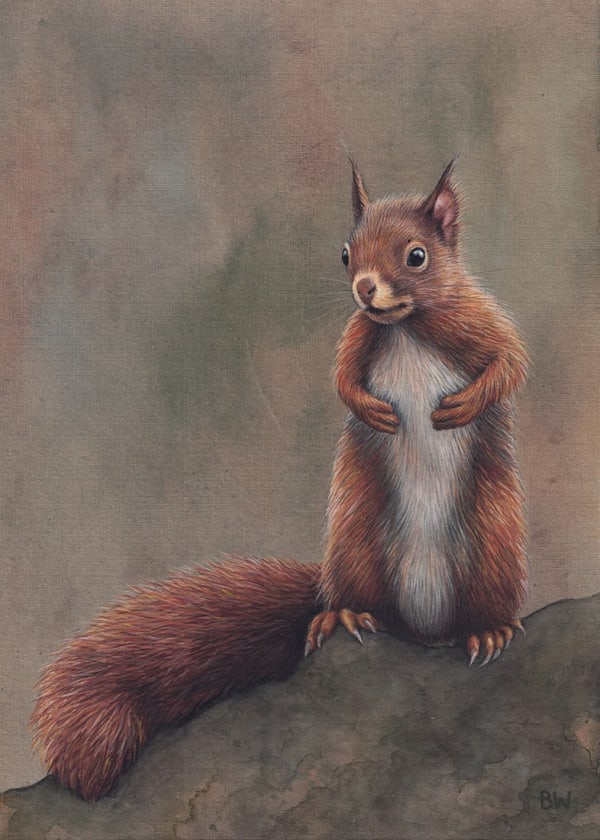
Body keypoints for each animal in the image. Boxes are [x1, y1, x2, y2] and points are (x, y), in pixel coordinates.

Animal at [31, 159, 528, 802]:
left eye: (417, 256)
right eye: (345, 253)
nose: (365, 289)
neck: (406, 327)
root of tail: (422, 631)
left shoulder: (483, 321)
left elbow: (510, 363)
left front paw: (464, 405)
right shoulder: (358, 336)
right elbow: (342, 377)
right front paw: (371, 410)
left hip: (493, 541)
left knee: (482, 607)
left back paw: (488, 631)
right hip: (356, 539)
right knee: (354, 603)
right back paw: (344, 617)